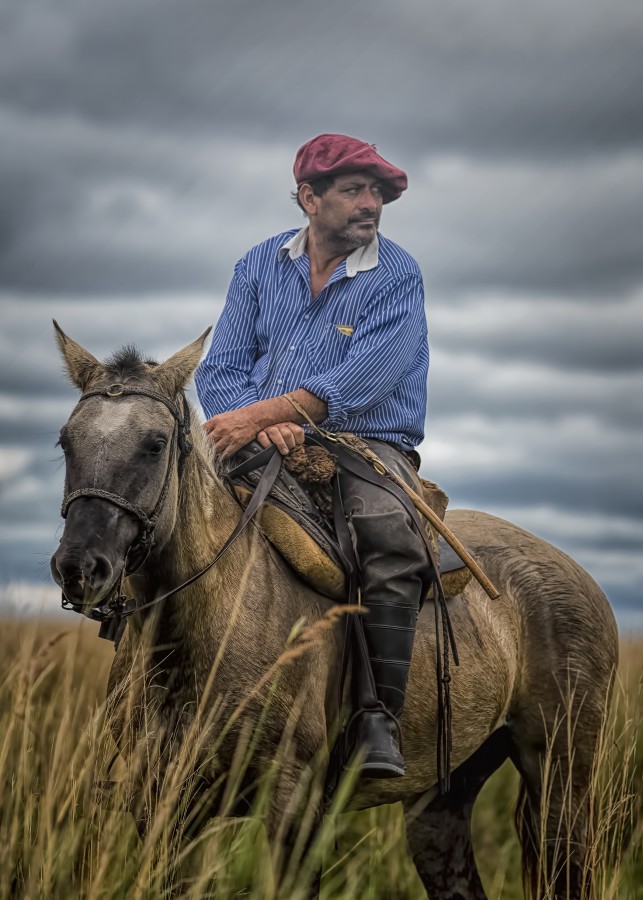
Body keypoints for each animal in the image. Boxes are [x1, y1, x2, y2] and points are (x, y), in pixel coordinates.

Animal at [51, 326, 620, 900]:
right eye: (66, 442)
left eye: (155, 445)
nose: (80, 567)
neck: (200, 637)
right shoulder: (164, 809)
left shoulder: (294, 806)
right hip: (444, 798)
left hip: (562, 780)